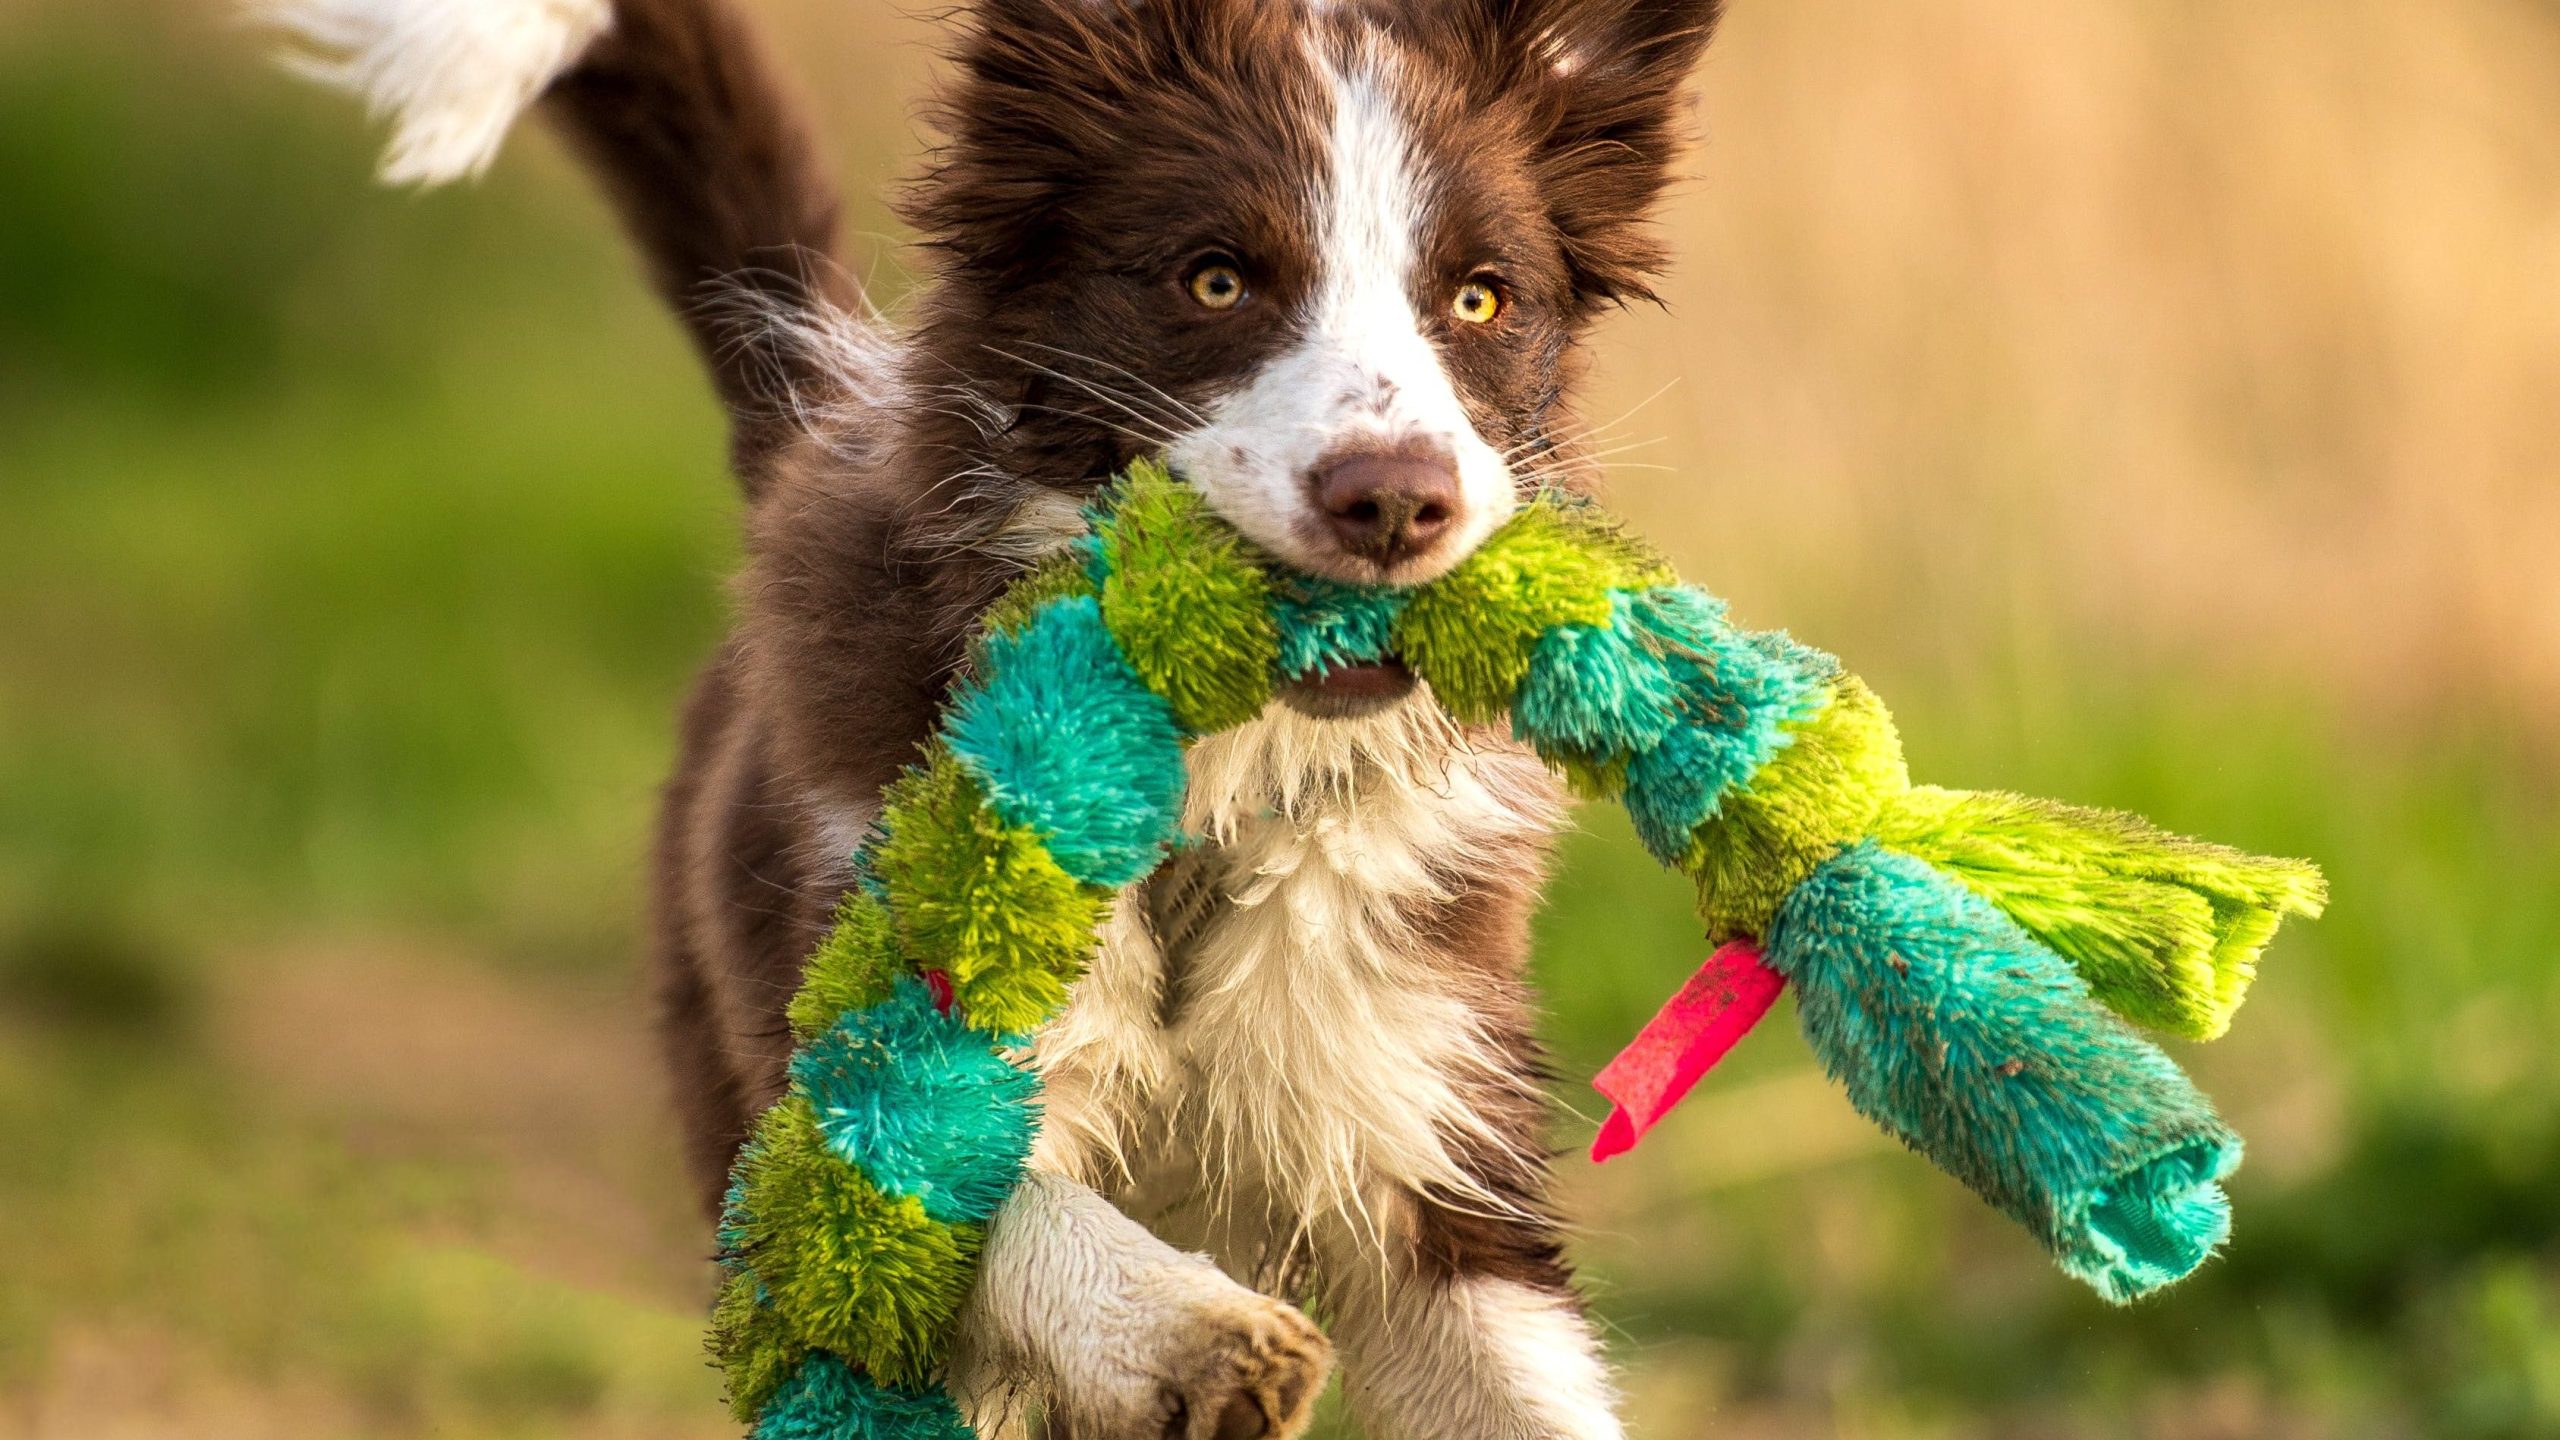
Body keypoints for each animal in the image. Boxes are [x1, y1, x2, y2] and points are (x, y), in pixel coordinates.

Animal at [264, 5, 1720, 1424]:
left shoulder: (1418, 1091)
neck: (1204, 811)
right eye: (1216, 279)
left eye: (1479, 298)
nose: (1397, 497)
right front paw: (1196, 1335)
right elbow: (968, 1202)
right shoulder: (847, 1028)